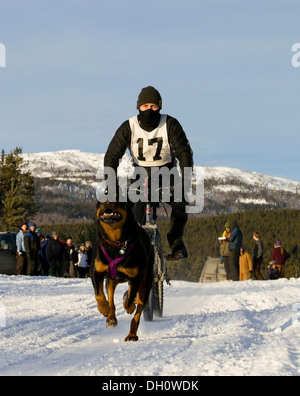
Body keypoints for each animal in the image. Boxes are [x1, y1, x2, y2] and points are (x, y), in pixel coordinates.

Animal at [90, 200, 154, 342]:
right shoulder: (96, 272)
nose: (107, 202)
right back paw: (111, 318)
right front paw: (104, 308)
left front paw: (129, 306)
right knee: (112, 300)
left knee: (138, 311)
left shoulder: (136, 277)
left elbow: (130, 299)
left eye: (118, 197)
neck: (115, 242)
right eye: (101, 197)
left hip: (145, 284)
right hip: (111, 281)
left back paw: (132, 334)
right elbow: (99, 295)